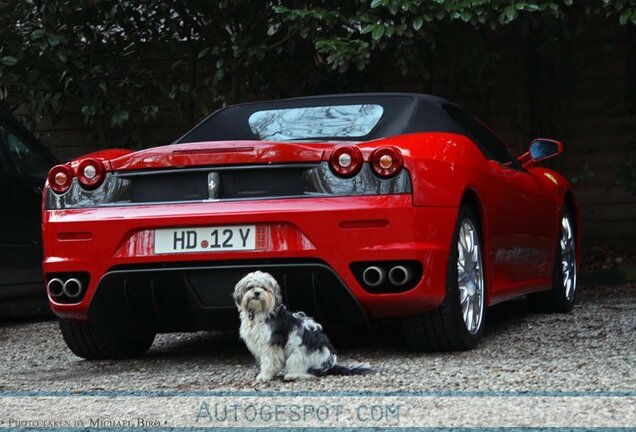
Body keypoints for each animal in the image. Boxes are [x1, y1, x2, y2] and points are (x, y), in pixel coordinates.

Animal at [235, 270, 372, 382]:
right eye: (250, 287)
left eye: (264, 287)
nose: (257, 293)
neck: (258, 312)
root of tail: (329, 364)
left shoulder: (271, 344)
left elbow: (270, 361)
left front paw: (264, 375)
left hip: (298, 353)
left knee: (310, 373)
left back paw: (293, 375)